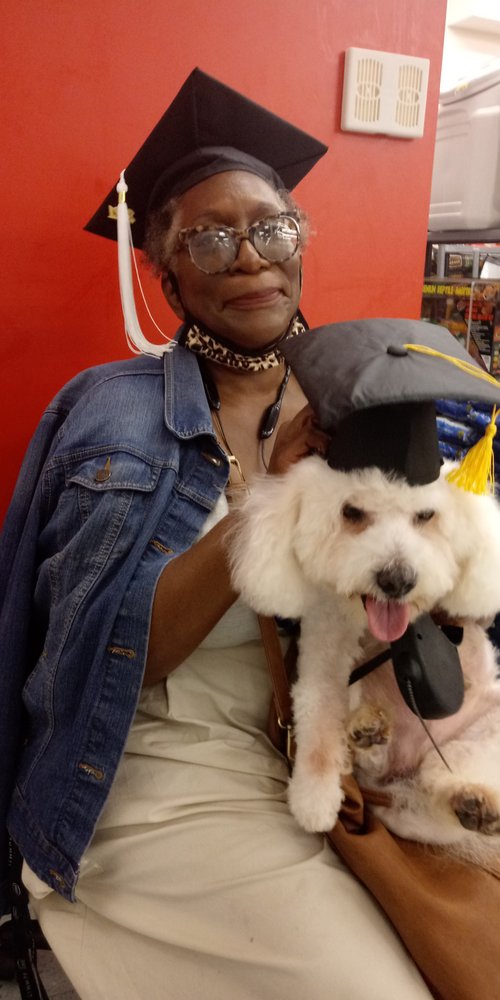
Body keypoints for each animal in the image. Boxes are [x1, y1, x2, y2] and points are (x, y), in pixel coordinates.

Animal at [229, 455, 500, 866]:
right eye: (351, 512)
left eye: (426, 515)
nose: (397, 580)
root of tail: (402, 770)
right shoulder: (323, 655)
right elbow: (320, 729)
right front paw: (314, 798)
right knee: (376, 762)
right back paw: (368, 729)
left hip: (482, 731)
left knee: (440, 777)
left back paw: (472, 801)